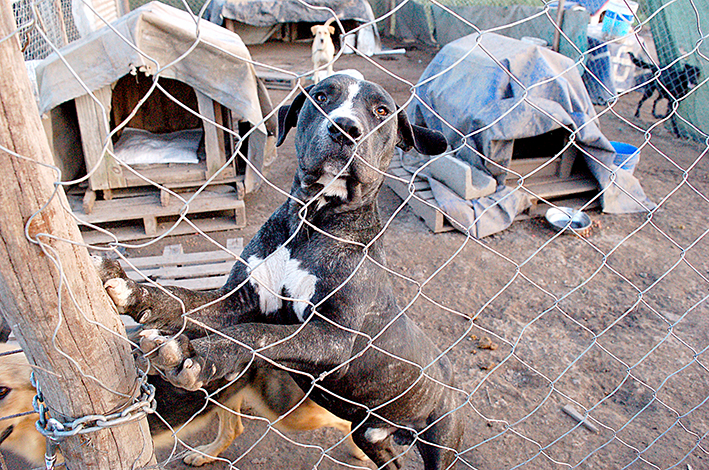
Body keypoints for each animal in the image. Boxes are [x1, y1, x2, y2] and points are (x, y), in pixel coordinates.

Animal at [0, 342, 366, 466]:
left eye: (3, 390)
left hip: (288, 412)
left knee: (345, 419)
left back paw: (361, 452)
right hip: (221, 397)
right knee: (234, 430)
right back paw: (206, 455)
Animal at [99, 75, 464, 468]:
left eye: (381, 110)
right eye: (321, 96)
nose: (344, 128)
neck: (310, 221)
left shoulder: (333, 337)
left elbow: (257, 335)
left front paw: (199, 356)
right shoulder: (240, 299)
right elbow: (183, 300)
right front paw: (134, 291)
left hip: (441, 439)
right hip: (369, 433)